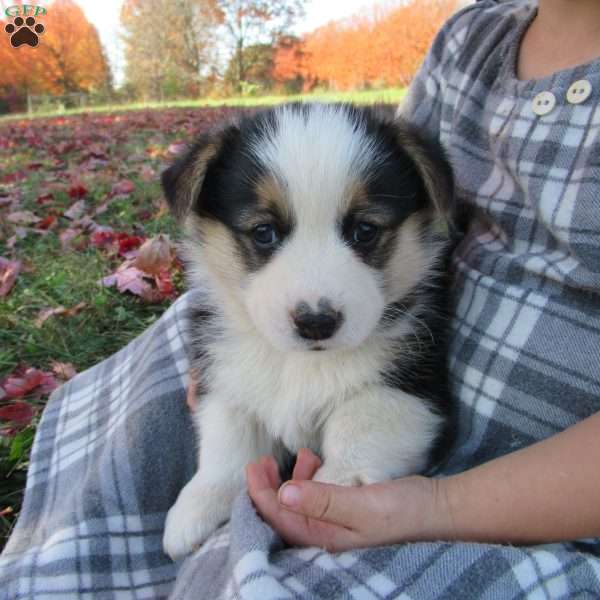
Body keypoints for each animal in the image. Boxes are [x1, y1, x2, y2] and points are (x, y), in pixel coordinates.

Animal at [162, 102, 452, 556]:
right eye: (264, 232)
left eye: (364, 230)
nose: (317, 322)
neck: (298, 363)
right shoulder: (222, 375)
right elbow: (227, 443)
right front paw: (192, 511)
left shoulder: (412, 385)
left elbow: (360, 425)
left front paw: (337, 483)